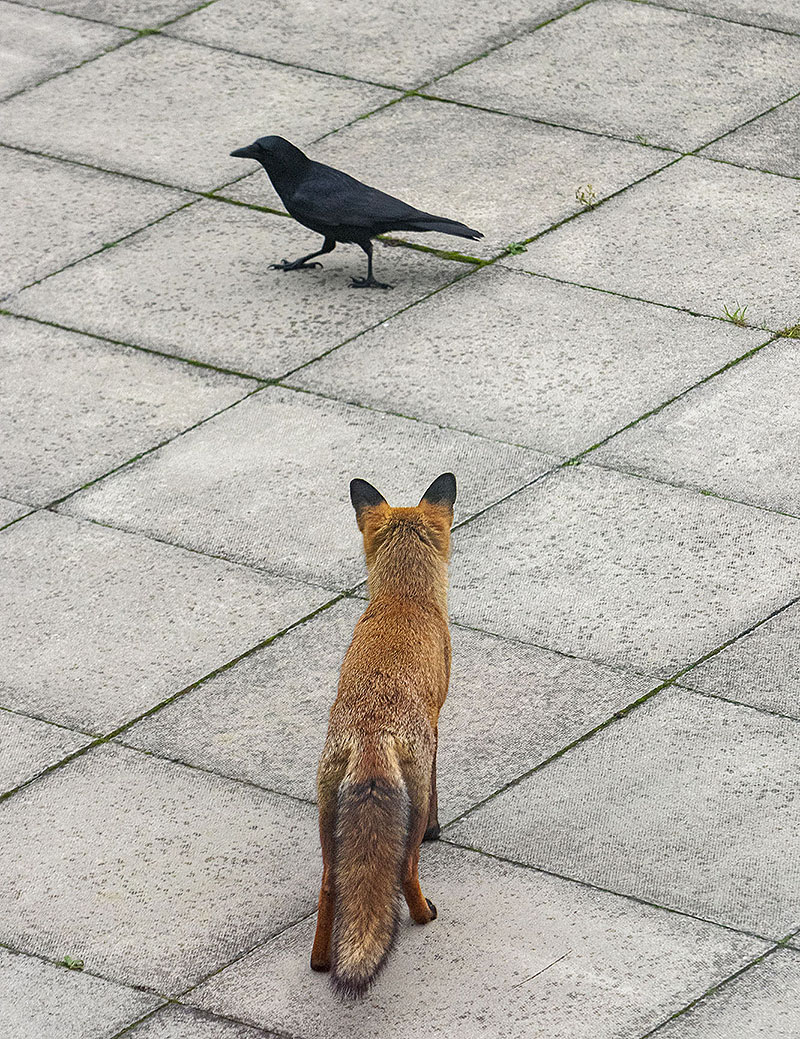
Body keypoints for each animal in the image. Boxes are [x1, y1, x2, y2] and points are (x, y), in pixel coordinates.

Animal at [307, 473, 452, 997]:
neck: (402, 600)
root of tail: (372, 733)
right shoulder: (436, 725)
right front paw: (438, 831)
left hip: (328, 815)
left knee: (331, 885)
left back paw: (321, 963)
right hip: (410, 796)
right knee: (406, 870)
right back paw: (425, 915)